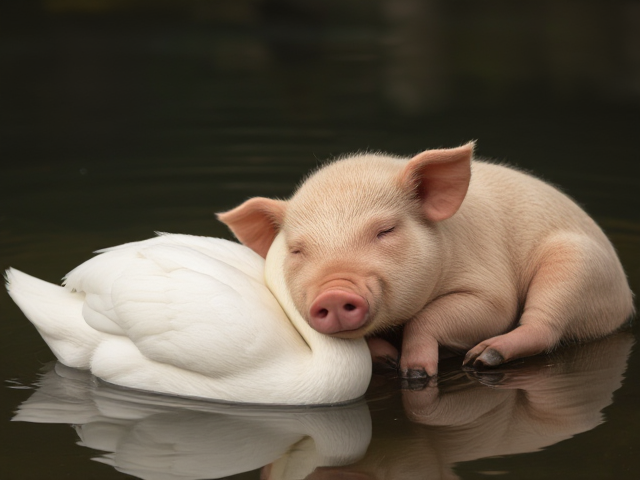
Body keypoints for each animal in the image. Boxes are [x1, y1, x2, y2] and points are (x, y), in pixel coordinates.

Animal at [217, 142, 634, 377]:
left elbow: (449, 314)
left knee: (544, 326)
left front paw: (416, 374)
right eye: (297, 250)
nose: (334, 292)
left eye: (385, 231)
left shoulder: (489, 289)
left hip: (577, 265)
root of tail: (625, 297)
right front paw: (387, 362)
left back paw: (483, 359)